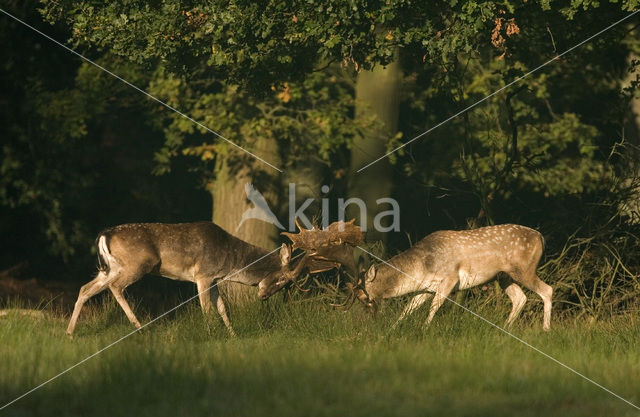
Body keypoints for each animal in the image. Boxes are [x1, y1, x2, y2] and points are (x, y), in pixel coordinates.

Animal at [352, 226, 552, 330]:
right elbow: (408, 308)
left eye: (363, 296)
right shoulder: (426, 287)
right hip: (503, 277)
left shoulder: (450, 277)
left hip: (524, 269)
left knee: (547, 290)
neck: (423, 266)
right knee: (520, 298)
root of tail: (541, 237)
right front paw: (392, 329)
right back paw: (504, 328)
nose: (367, 320)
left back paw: (545, 329)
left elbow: (434, 306)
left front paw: (424, 329)